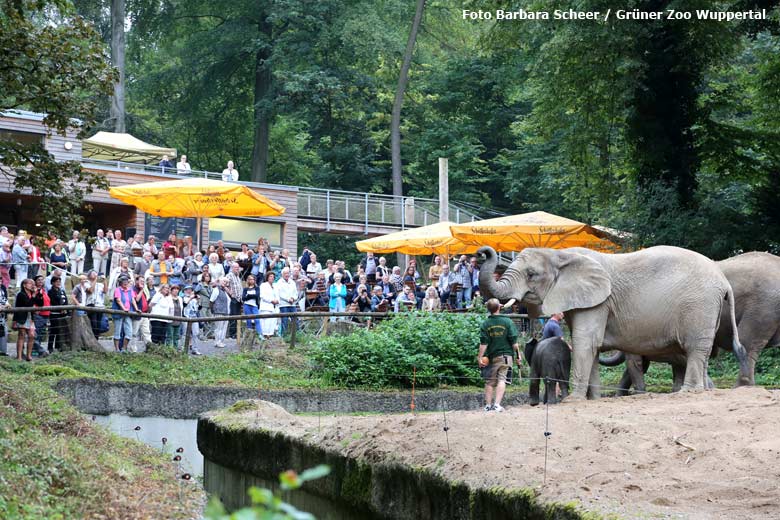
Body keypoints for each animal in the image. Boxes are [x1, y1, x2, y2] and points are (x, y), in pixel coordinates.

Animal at [478, 246, 748, 400]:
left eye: (532, 274)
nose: (483, 251)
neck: (561, 253)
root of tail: (723, 281)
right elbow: (591, 348)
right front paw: (594, 400)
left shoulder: (599, 302)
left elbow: (585, 343)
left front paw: (573, 401)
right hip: (707, 308)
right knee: (702, 352)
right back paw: (704, 391)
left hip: (698, 306)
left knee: (695, 348)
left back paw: (688, 392)